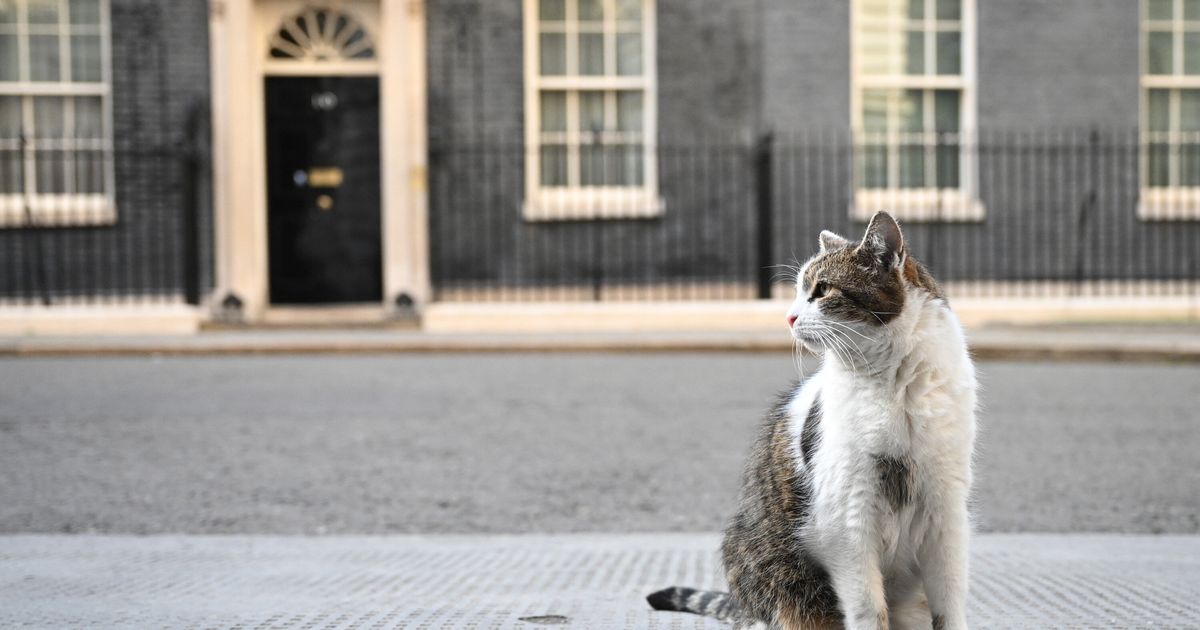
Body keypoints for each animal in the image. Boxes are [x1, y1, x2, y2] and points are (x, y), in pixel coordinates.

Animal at [652, 212, 979, 628]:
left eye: (822, 290)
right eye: (797, 292)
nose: (789, 317)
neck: (895, 386)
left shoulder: (946, 511)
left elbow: (950, 603)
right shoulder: (848, 520)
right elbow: (868, 610)